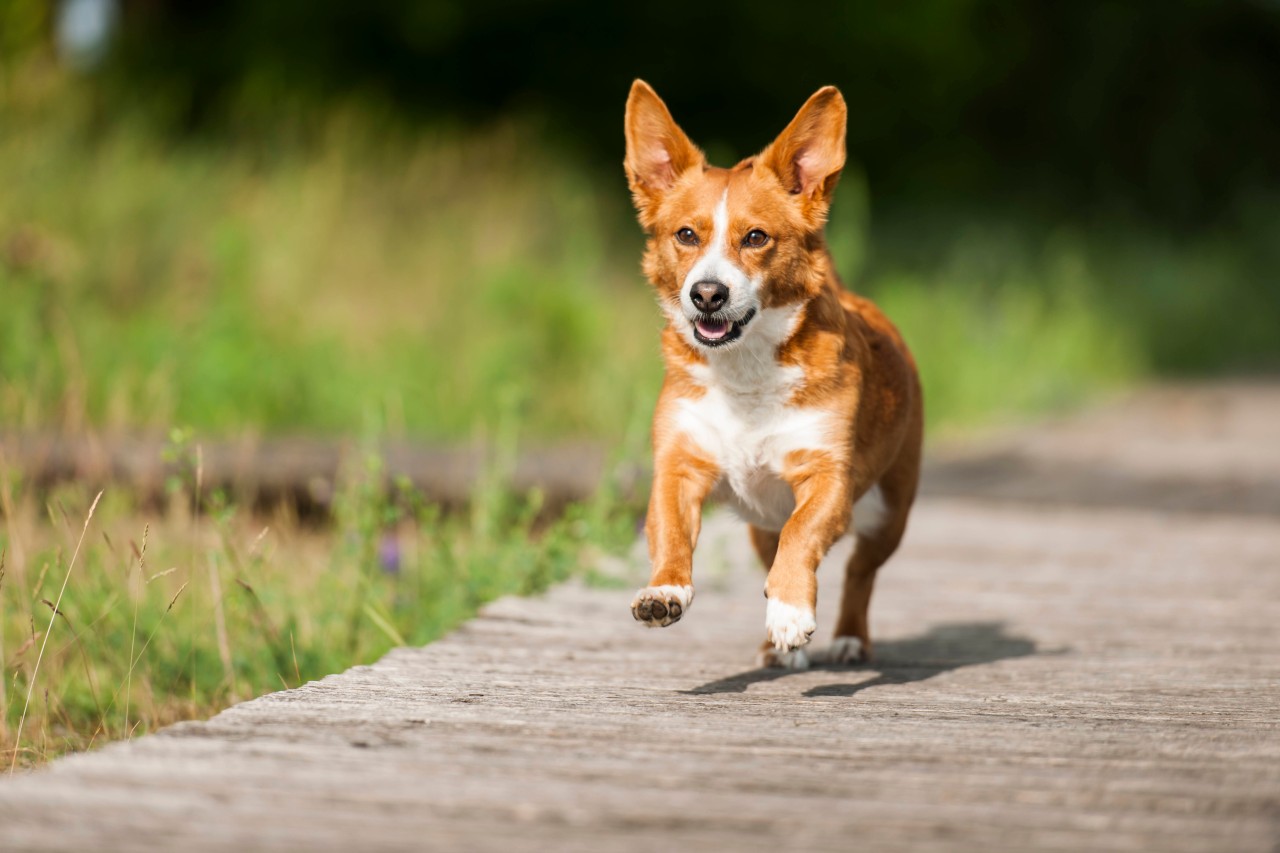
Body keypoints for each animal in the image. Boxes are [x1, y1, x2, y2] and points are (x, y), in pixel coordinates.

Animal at [619, 79, 921, 666]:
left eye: (756, 238)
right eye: (685, 235)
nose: (706, 293)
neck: (745, 371)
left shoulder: (830, 478)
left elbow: (801, 534)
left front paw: (789, 612)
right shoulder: (679, 467)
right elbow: (669, 533)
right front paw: (665, 590)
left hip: (889, 513)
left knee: (859, 571)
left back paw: (848, 637)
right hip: (760, 526)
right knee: (772, 549)